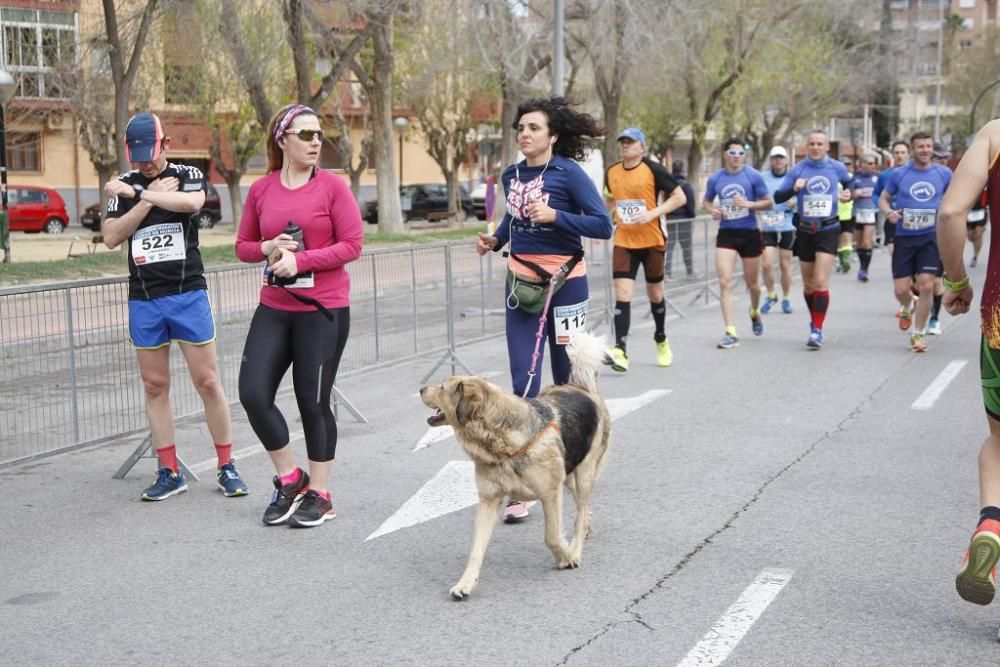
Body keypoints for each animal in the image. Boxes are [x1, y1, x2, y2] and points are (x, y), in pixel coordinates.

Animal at [416, 334, 608, 600]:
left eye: (443, 387)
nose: (421, 389)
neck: (499, 442)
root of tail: (580, 388)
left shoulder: (550, 494)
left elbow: (551, 536)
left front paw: (566, 556)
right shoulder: (489, 500)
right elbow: (476, 550)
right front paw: (465, 584)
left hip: (584, 474)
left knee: (580, 511)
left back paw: (576, 549)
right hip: (570, 473)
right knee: (583, 507)